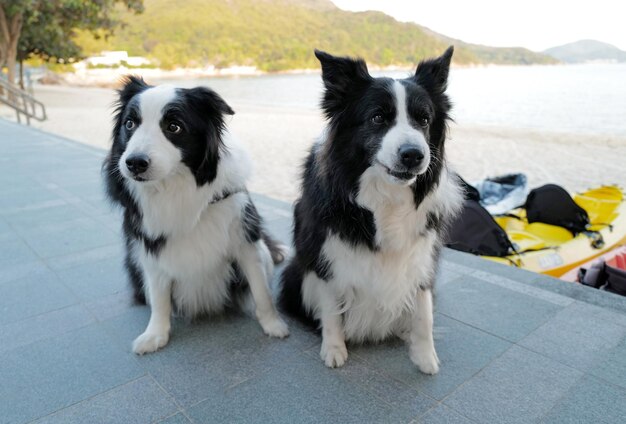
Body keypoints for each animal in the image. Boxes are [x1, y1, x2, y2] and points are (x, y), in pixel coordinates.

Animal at [104, 77, 288, 354]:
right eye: (129, 124)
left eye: (174, 127)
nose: (134, 163)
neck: (176, 188)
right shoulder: (150, 249)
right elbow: (159, 297)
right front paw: (155, 335)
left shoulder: (244, 238)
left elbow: (260, 290)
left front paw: (273, 325)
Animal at [276, 47, 458, 374]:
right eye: (377, 117)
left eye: (424, 120)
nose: (414, 155)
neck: (386, 197)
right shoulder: (326, 253)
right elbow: (331, 307)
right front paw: (334, 349)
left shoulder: (421, 252)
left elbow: (424, 309)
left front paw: (425, 356)